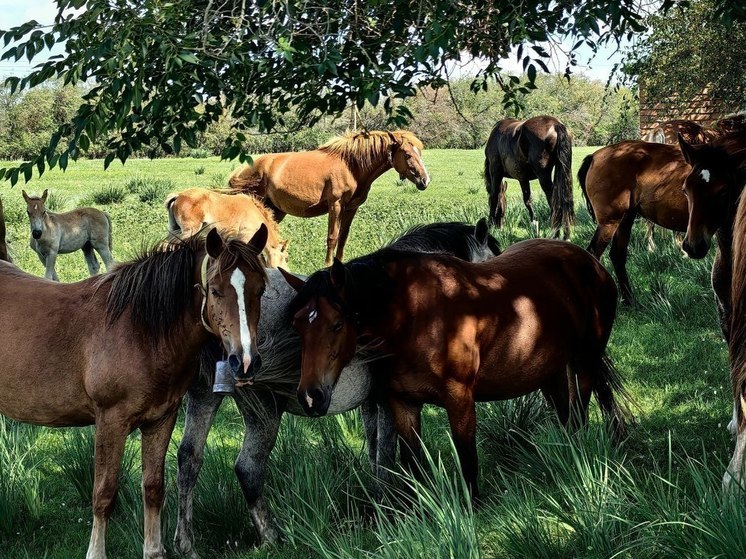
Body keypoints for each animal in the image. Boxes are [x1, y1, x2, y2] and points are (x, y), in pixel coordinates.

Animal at [0, 226, 268, 559]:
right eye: (216, 290)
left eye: (261, 290)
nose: (245, 361)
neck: (141, 330)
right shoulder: (110, 422)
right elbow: (104, 493)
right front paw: (96, 553)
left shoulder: (161, 420)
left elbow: (153, 488)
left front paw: (154, 550)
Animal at [174, 220, 500, 556]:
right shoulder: (389, 401)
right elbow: (386, 453)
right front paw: (391, 506)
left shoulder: (372, 402)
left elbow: (375, 450)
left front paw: (379, 502)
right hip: (262, 410)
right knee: (247, 468)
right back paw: (272, 537)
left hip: (204, 397)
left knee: (189, 459)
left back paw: (186, 544)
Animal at [230, 130, 434, 266]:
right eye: (407, 154)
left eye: (419, 152)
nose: (425, 181)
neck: (351, 166)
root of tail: (242, 169)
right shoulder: (335, 205)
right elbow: (332, 237)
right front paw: (328, 264)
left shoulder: (351, 208)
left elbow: (343, 237)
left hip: (275, 210)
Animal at [284, 238, 628, 496]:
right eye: (297, 325)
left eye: (338, 324)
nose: (311, 396)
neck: (413, 315)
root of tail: (591, 263)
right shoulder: (403, 404)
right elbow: (414, 463)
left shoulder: (459, 399)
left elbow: (467, 460)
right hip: (550, 371)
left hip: (585, 361)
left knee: (585, 410)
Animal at [576, 140, 692, 306]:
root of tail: (594, 156)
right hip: (610, 223)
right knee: (594, 254)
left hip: (625, 220)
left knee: (617, 255)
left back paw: (629, 300)